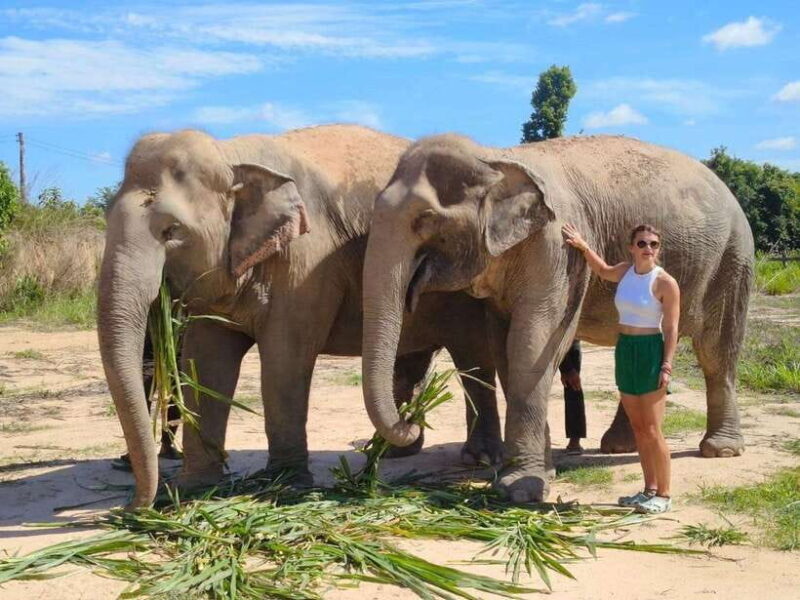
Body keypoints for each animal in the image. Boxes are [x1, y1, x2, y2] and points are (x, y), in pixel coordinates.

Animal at [98, 125, 502, 509]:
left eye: (172, 231)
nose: (134, 506)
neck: (233, 154)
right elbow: (206, 360)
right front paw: (193, 488)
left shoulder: (307, 263)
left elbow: (285, 358)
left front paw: (283, 486)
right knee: (411, 363)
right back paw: (393, 450)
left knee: (472, 359)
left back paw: (477, 459)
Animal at [360, 133, 754, 503]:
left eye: (424, 220)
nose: (412, 426)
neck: (495, 156)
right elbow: (506, 348)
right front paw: (538, 472)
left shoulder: (557, 250)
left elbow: (532, 343)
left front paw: (520, 489)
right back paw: (619, 446)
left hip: (733, 261)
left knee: (716, 352)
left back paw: (719, 450)